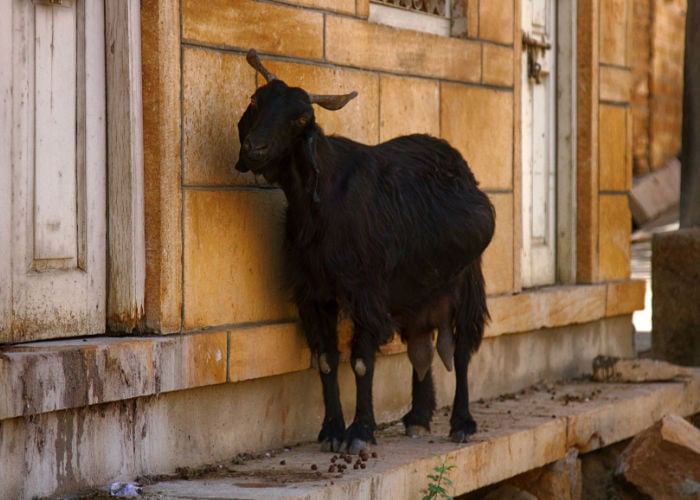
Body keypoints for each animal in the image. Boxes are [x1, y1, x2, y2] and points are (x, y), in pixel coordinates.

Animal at [238, 49, 494, 454]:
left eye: (301, 118)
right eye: (255, 101)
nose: (254, 149)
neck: (321, 202)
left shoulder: (365, 292)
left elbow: (361, 362)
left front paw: (358, 433)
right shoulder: (314, 293)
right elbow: (326, 360)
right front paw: (331, 431)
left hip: (468, 280)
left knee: (463, 348)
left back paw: (462, 423)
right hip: (416, 293)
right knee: (421, 346)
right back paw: (417, 418)